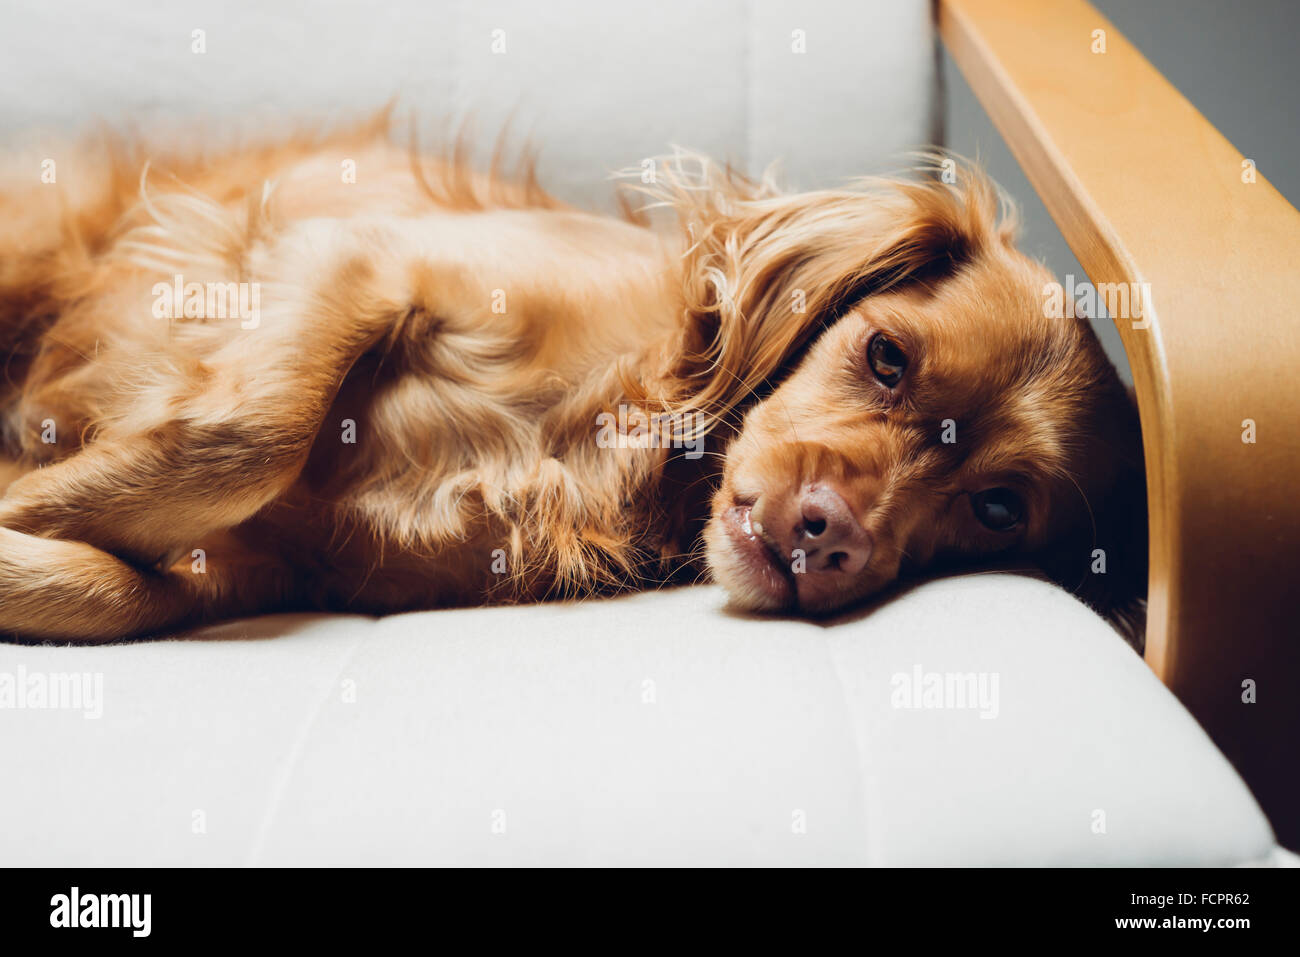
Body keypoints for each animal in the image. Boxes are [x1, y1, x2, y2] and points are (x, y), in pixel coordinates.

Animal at [0, 117, 1149, 642]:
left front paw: (28, 523)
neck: (613, 435)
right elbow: (251, 435)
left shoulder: (258, 566)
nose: (824, 534)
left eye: (996, 507)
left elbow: (113, 586)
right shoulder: (352, 256)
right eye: (887, 358)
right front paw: (27, 495)